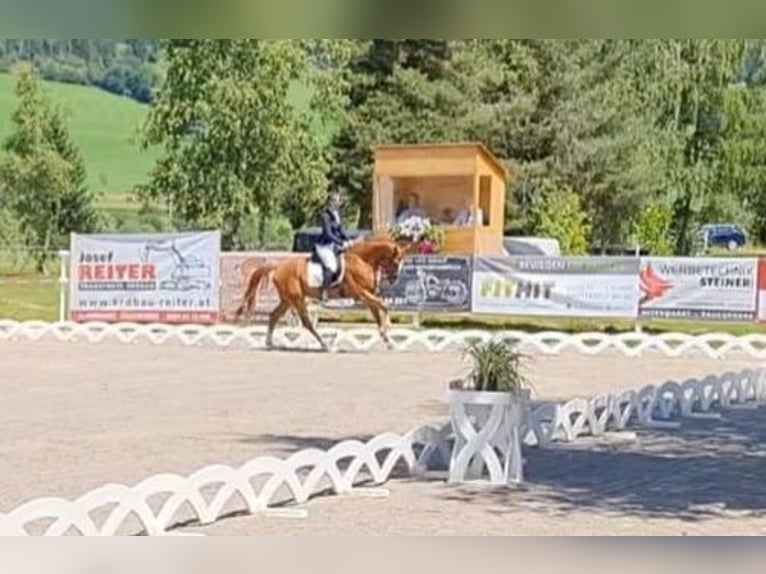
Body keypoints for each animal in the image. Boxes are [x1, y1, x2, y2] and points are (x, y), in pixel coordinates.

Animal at [237, 238, 408, 352]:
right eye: (396, 261)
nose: (394, 279)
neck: (362, 261)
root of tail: (278, 266)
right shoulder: (361, 294)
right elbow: (385, 305)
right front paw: (388, 327)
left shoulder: (368, 296)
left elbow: (378, 313)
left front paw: (389, 341)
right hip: (297, 299)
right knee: (307, 322)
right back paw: (325, 345)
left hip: (288, 299)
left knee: (274, 316)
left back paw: (270, 343)